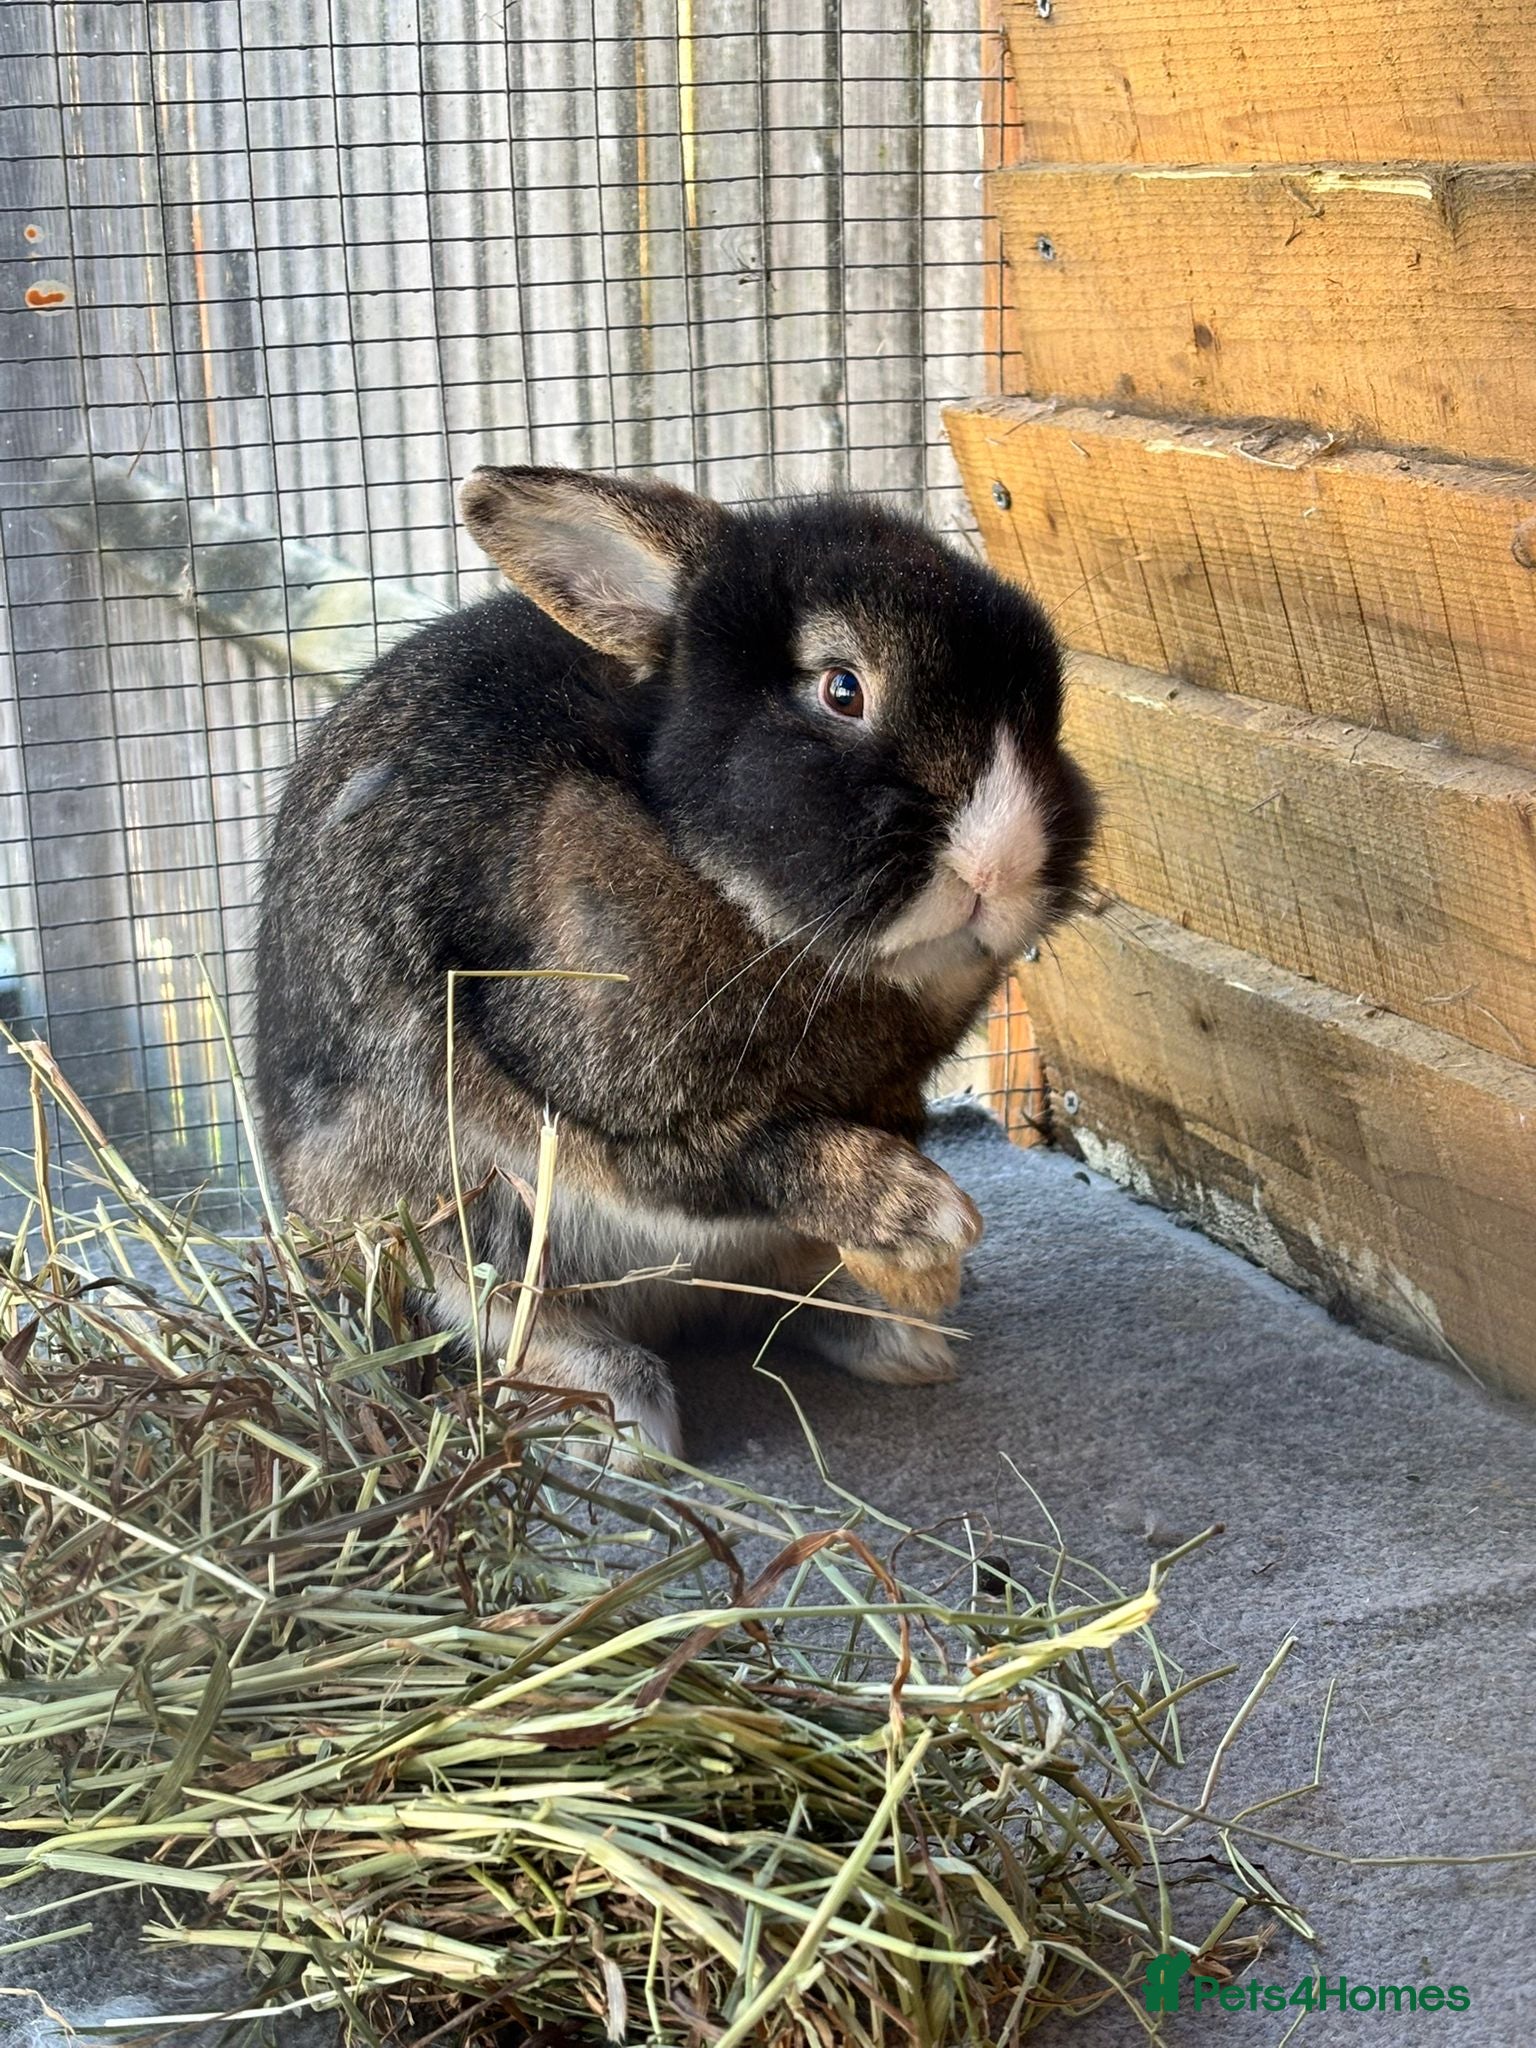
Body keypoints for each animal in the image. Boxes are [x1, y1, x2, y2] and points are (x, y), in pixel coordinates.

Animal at [254, 467, 1096, 1463]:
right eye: (842, 689)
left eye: (1046, 707)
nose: (1002, 862)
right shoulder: (600, 1103)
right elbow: (754, 1155)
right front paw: (927, 1218)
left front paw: (922, 1270)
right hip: (431, 1196)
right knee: (495, 1308)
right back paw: (624, 1407)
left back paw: (896, 1336)